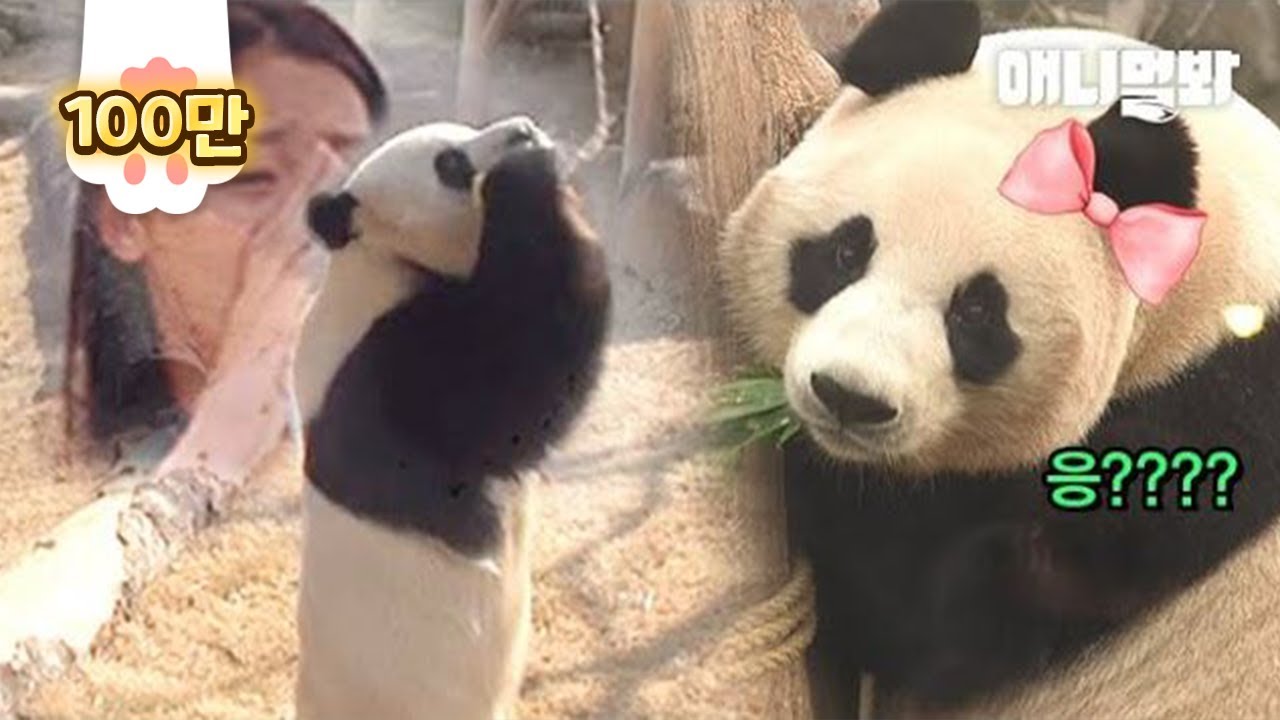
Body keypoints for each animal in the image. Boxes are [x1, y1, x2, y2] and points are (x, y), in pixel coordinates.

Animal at [291, 116, 611, 720]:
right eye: (450, 164)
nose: (524, 129)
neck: (384, 260)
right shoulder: (389, 371)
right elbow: (515, 391)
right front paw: (527, 180)